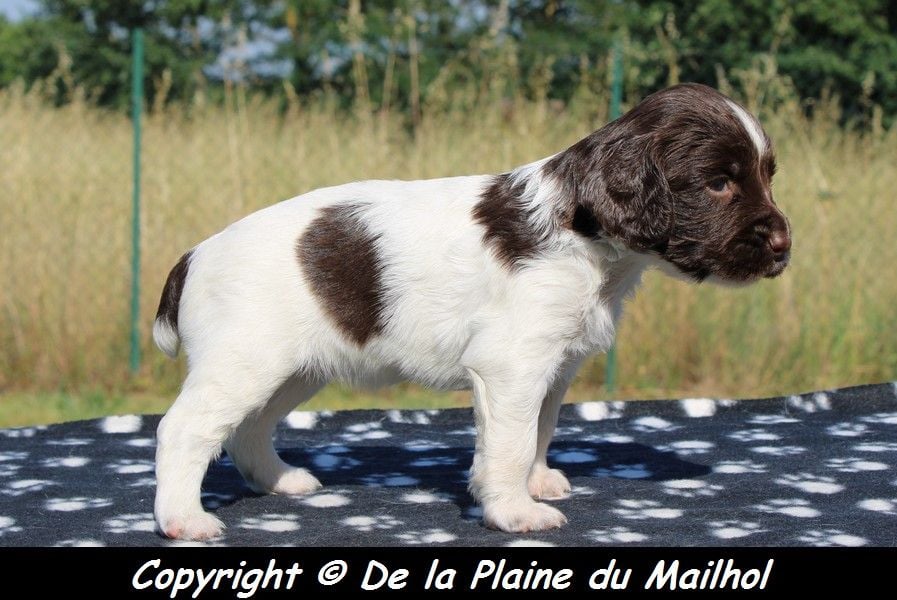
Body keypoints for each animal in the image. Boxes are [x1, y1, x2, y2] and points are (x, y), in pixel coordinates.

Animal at [152, 83, 791, 540]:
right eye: (718, 183)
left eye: (767, 176)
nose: (785, 245)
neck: (585, 236)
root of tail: (194, 254)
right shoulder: (512, 365)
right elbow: (510, 443)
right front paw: (513, 511)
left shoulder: (552, 367)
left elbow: (539, 430)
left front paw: (537, 483)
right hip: (245, 361)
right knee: (184, 429)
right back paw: (183, 521)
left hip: (293, 368)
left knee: (247, 429)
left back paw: (281, 481)